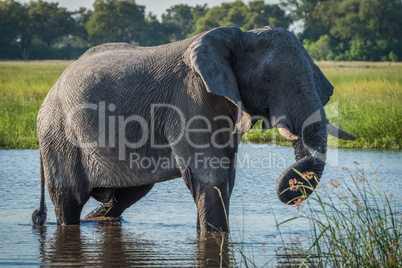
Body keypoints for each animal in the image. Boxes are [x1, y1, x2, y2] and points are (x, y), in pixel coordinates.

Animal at [32, 26, 354, 233]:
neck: (239, 37)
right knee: (69, 198)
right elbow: (211, 176)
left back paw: (97, 220)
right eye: (268, 78)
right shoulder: (190, 99)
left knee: (128, 193)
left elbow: (226, 178)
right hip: (58, 131)